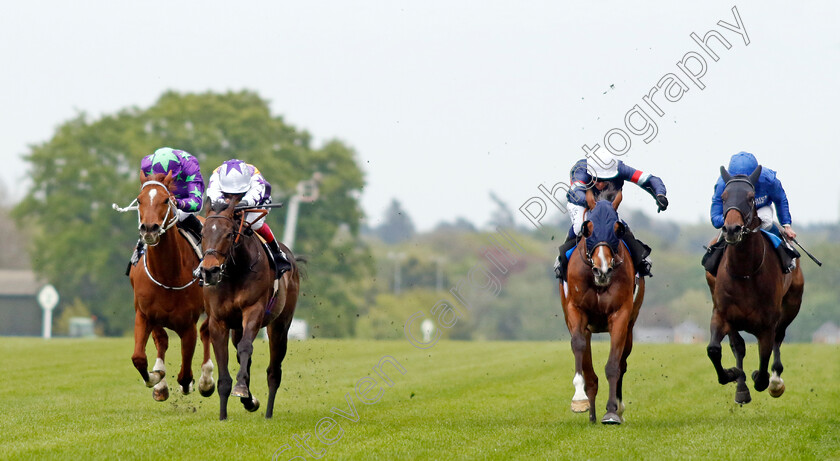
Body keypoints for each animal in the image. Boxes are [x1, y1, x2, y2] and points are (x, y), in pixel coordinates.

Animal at [126, 171, 217, 400]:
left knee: (207, 331)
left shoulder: (187, 324)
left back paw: (206, 380)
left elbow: (185, 375)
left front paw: (195, 383)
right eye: (139, 200)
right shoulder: (144, 314)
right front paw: (156, 378)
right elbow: (139, 357)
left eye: (166, 200)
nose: (149, 229)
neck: (167, 275)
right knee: (163, 340)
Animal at [198, 196, 300, 418]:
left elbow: (246, 347)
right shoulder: (218, 321)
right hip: (237, 328)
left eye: (228, 234)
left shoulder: (254, 310)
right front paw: (223, 415)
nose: (210, 271)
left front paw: (241, 389)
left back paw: (268, 413)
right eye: (202, 233)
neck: (234, 272)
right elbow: (224, 368)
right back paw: (249, 401)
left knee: (273, 371)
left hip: (279, 325)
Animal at [704, 165, 804, 402]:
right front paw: (733, 375)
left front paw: (765, 378)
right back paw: (741, 386)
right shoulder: (721, 313)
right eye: (723, 196)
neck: (745, 273)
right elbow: (715, 349)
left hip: (792, 305)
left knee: (779, 338)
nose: (731, 229)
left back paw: (775, 380)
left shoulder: (767, 323)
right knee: (737, 346)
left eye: (750, 198)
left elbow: (764, 361)